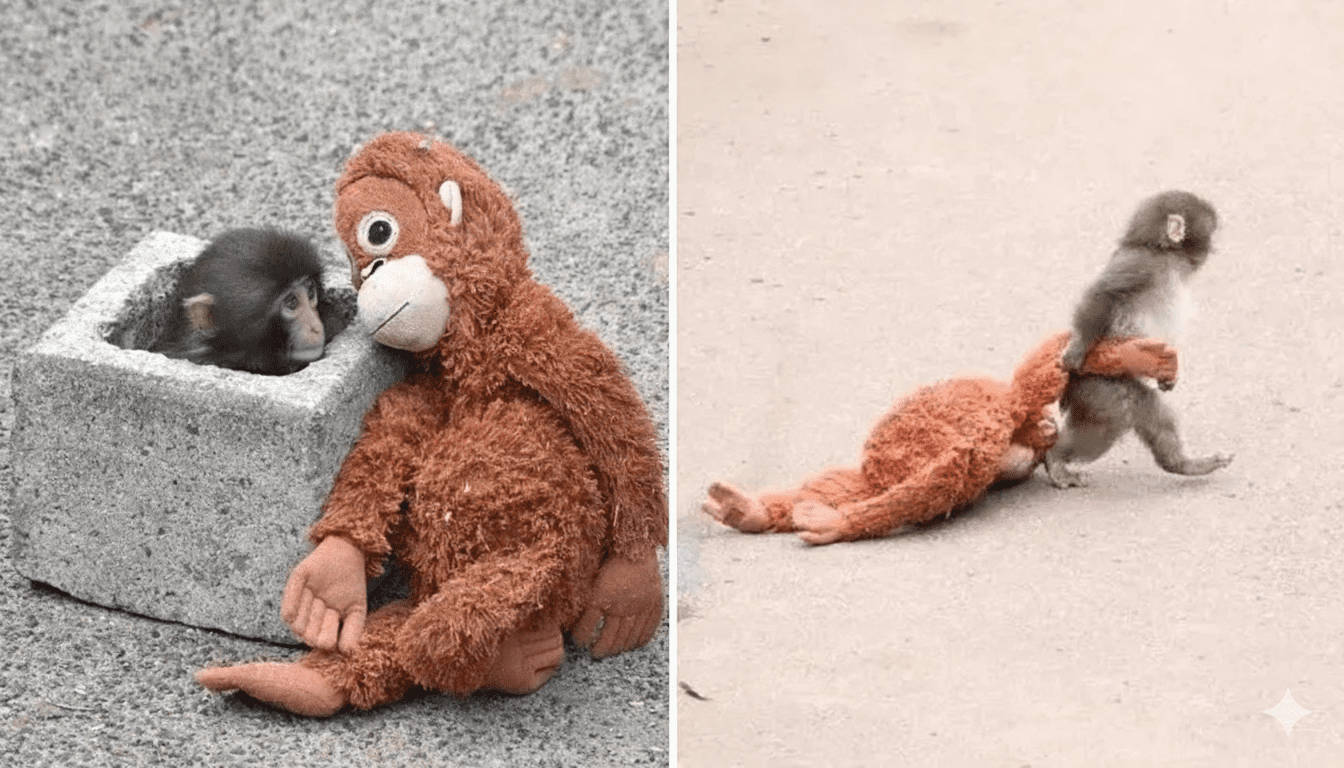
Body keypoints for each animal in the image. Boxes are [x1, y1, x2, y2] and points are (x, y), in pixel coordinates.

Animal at [1043, 190, 1234, 488]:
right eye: (1210, 233)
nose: (1212, 249)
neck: (1162, 254)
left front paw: (1169, 377)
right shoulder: (1140, 265)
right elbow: (1103, 294)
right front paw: (1078, 346)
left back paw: (1184, 465)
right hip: (1098, 385)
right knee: (1119, 414)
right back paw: (1054, 458)